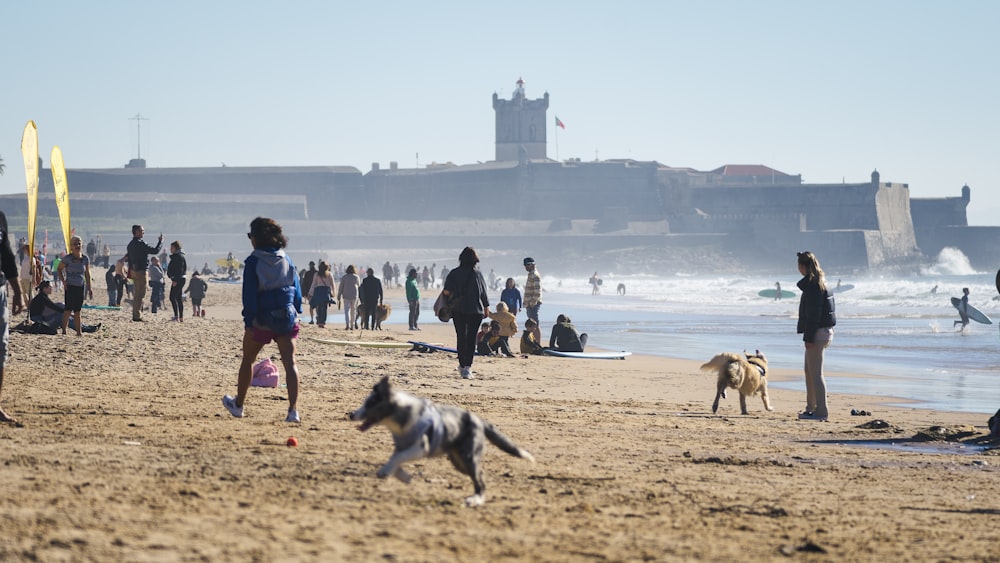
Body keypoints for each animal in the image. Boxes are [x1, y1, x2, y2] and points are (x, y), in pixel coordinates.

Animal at [348, 376, 536, 508]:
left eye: (370, 404)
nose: (350, 414)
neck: (402, 417)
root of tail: (479, 420)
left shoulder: (420, 447)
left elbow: (398, 458)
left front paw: (385, 471)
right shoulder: (402, 447)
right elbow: (396, 461)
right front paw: (404, 477)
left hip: (468, 456)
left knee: (480, 479)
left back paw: (474, 500)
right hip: (458, 460)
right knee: (480, 475)